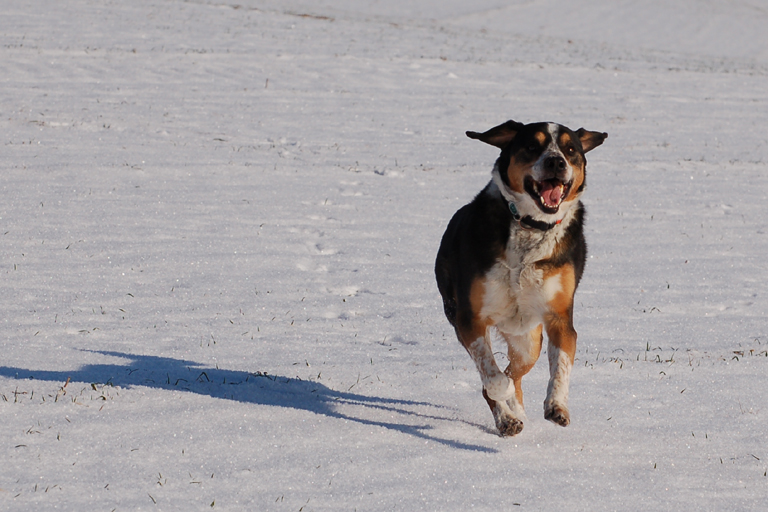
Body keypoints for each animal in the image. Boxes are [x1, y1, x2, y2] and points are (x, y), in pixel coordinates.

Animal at [438, 120, 608, 436]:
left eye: (570, 149)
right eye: (531, 145)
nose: (556, 161)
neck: (530, 227)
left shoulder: (559, 318)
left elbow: (561, 366)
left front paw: (557, 407)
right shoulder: (470, 319)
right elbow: (491, 376)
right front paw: (503, 398)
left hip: (527, 341)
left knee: (516, 372)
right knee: (497, 379)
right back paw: (508, 418)